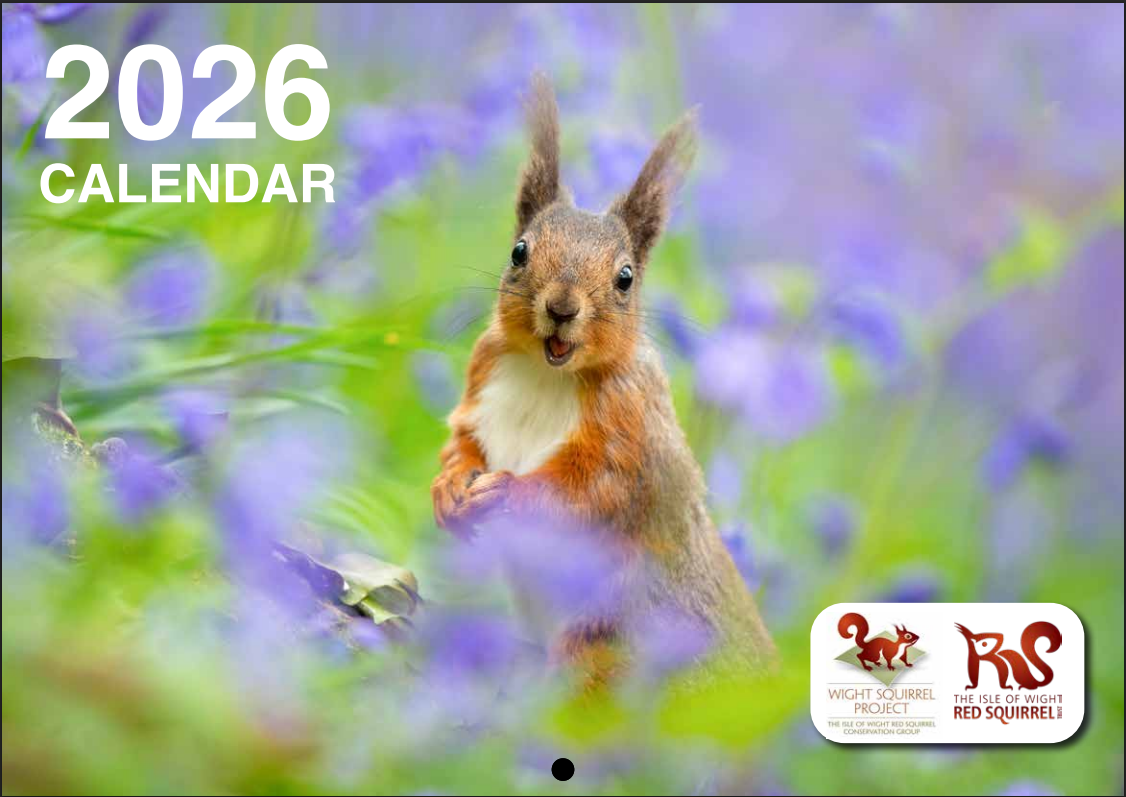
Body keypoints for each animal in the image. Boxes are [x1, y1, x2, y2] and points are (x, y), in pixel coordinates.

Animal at [430, 75, 774, 686]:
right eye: (519, 251)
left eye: (626, 277)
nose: (562, 308)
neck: (548, 375)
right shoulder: (482, 383)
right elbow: (463, 443)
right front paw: (450, 486)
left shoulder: (629, 432)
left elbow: (589, 493)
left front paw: (507, 491)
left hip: (609, 646)